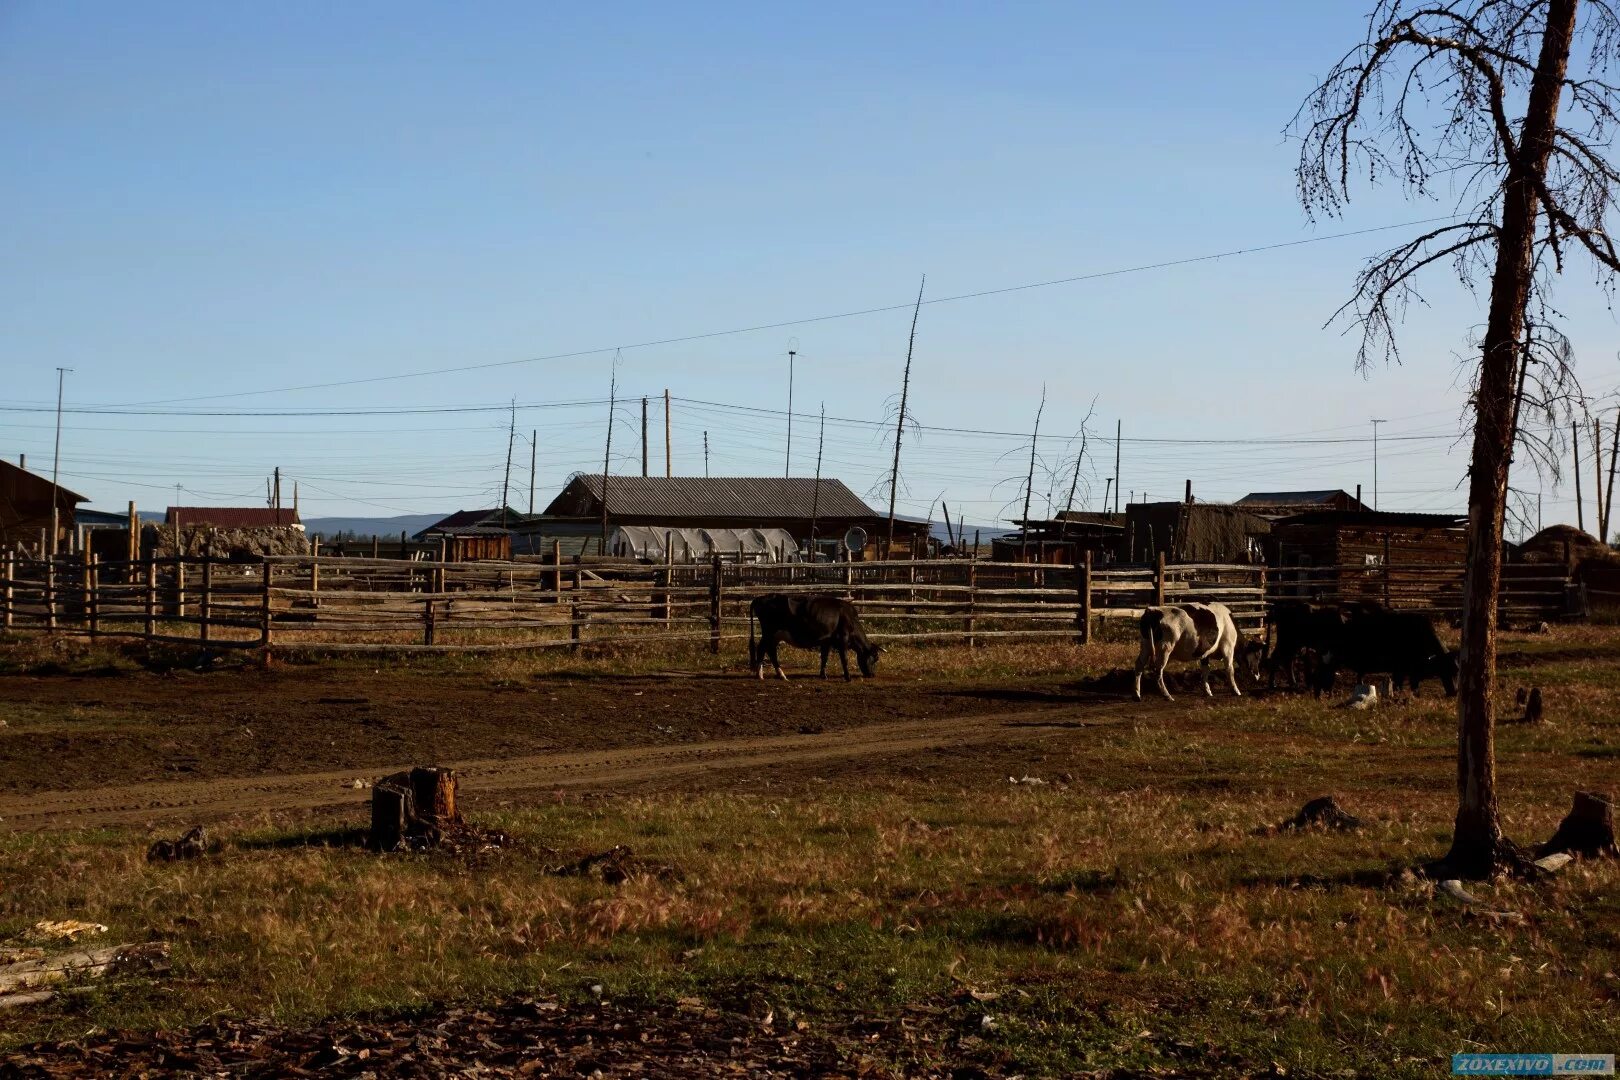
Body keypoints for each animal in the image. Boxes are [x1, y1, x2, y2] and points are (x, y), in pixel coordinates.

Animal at [748, 592, 881, 683]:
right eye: (875, 658)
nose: (872, 675)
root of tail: (760, 598)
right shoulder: (843, 639)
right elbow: (844, 659)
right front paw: (848, 677)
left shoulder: (826, 641)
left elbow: (824, 658)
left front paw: (823, 675)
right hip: (769, 633)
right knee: (762, 649)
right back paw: (760, 675)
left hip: (775, 636)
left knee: (770, 651)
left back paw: (781, 675)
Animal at [1127, 599, 1263, 702]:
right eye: (1257, 655)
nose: (1258, 675)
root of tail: (1152, 610)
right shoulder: (1227, 647)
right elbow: (1230, 669)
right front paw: (1236, 691)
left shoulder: (1205, 653)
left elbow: (1206, 670)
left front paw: (1208, 691)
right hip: (1165, 647)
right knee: (1158, 670)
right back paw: (1167, 696)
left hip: (1145, 646)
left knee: (1139, 666)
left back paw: (1137, 695)